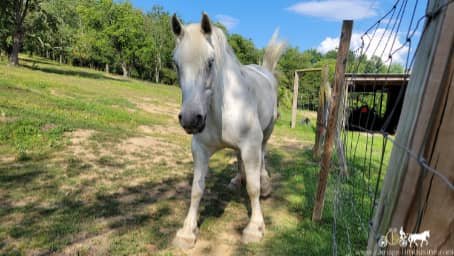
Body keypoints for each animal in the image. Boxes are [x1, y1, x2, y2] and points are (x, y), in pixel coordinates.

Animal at [168, 13, 286, 249]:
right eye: (176, 63)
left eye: (210, 62)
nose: (191, 119)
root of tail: (265, 71)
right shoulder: (200, 150)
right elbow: (196, 189)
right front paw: (187, 232)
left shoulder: (251, 144)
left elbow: (253, 188)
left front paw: (254, 228)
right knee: (239, 158)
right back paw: (236, 180)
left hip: (266, 134)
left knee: (263, 156)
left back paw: (265, 184)